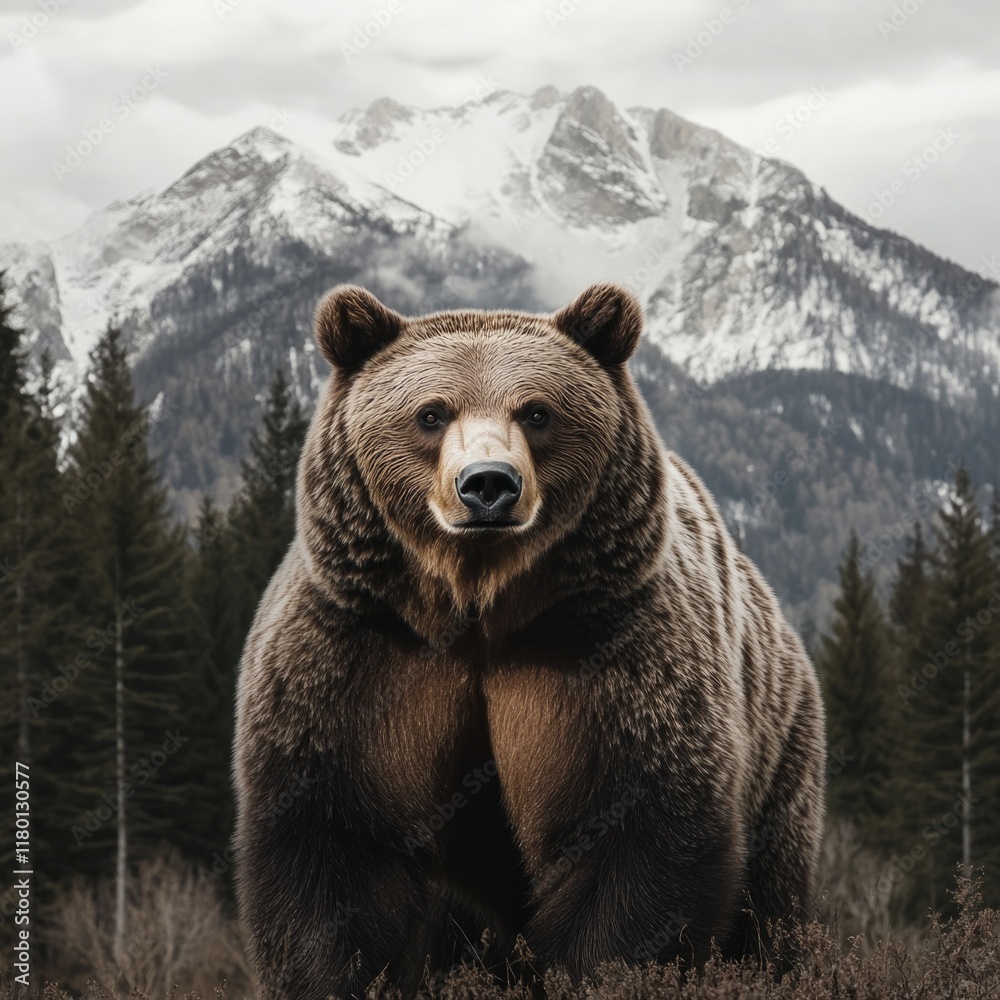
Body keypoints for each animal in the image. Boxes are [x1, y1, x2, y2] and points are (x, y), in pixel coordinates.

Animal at [233, 282, 826, 999]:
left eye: (537, 412)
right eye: (431, 413)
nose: (488, 483)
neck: (476, 607)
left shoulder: (609, 653)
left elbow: (638, 840)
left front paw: (602, 970)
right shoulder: (361, 656)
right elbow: (331, 846)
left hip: (781, 747)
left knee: (772, 906)